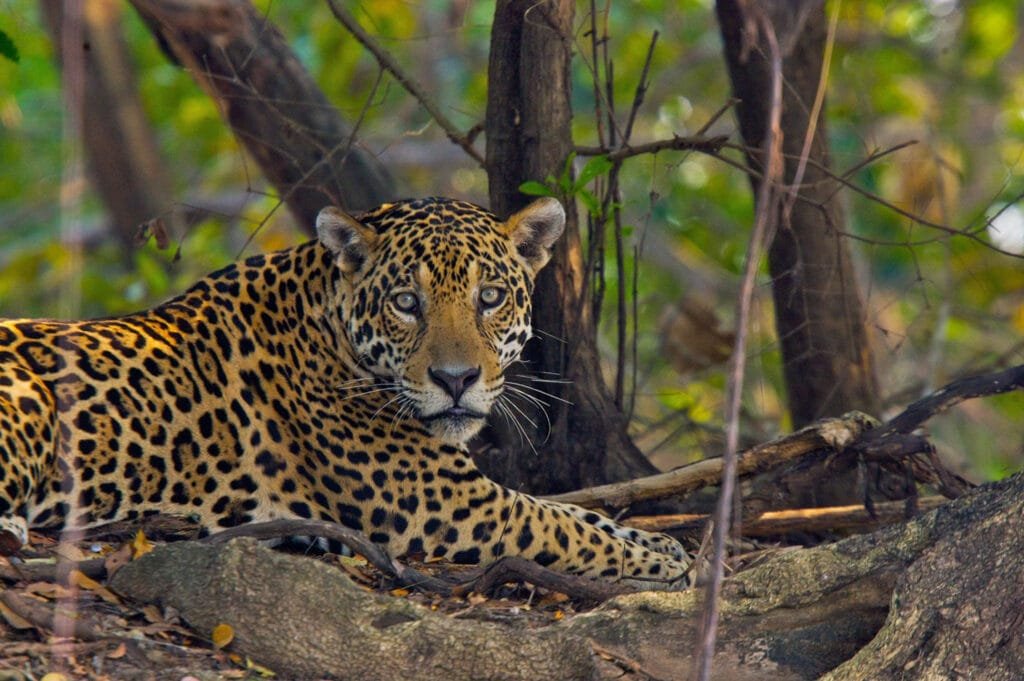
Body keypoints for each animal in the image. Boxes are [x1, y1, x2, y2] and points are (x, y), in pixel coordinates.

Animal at [0, 196, 692, 589]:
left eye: (490, 297)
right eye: (406, 303)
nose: (456, 380)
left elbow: (578, 512)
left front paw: (659, 542)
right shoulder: (445, 503)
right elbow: (559, 526)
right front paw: (664, 562)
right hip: (27, 400)